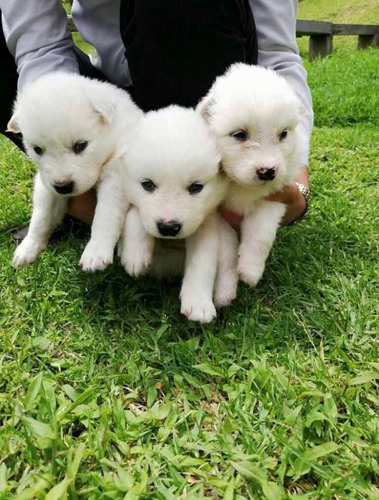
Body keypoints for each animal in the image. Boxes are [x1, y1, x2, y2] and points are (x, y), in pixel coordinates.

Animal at [8, 71, 142, 270]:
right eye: (37, 149)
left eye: (80, 145)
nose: (63, 186)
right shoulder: (46, 183)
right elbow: (41, 216)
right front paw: (28, 248)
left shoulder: (115, 177)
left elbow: (105, 215)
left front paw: (95, 252)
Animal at [120, 106, 239, 324]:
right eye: (147, 184)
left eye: (196, 187)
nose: (168, 227)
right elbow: (135, 212)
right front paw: (135, 253)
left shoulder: (206, 224)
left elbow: (201, 263)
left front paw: (198, 303)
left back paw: (224, 292)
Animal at [197, 64, 308, 288]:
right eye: (239, 135)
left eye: (283, 134)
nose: (268, 171)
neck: (242, 187)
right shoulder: (216, 212)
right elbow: (227, 242)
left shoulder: (273, 200)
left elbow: (260, 235)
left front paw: (251, 269)